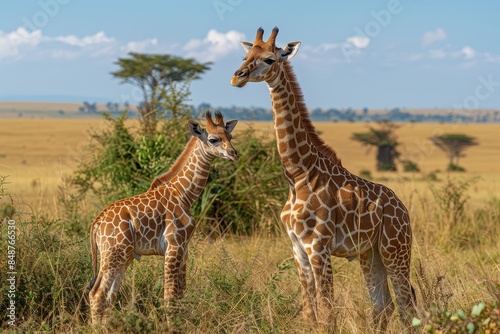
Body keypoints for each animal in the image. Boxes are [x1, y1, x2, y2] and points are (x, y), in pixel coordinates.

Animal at [88, 112, 238, 324]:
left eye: (230, 137)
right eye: (213, 139)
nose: (234, 154)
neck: (184, 193)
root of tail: (97, 222)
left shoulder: (184, 247)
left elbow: (181, 291)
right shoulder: (173, 245)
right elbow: (170, 294)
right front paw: (170, 325)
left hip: (121, 256)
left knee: (109, 294)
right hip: (114, 254)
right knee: (97, 294)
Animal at [232, 27, 416, 330]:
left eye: (270, 59)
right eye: (245, 56)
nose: (237, 76)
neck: (298, 175)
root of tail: (403, 209)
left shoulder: (319, 248)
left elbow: (327, 313)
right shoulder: (298, 250)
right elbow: (310, 313)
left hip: (395, 249)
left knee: (407, 303)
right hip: (370, 253)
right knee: (383, 305)